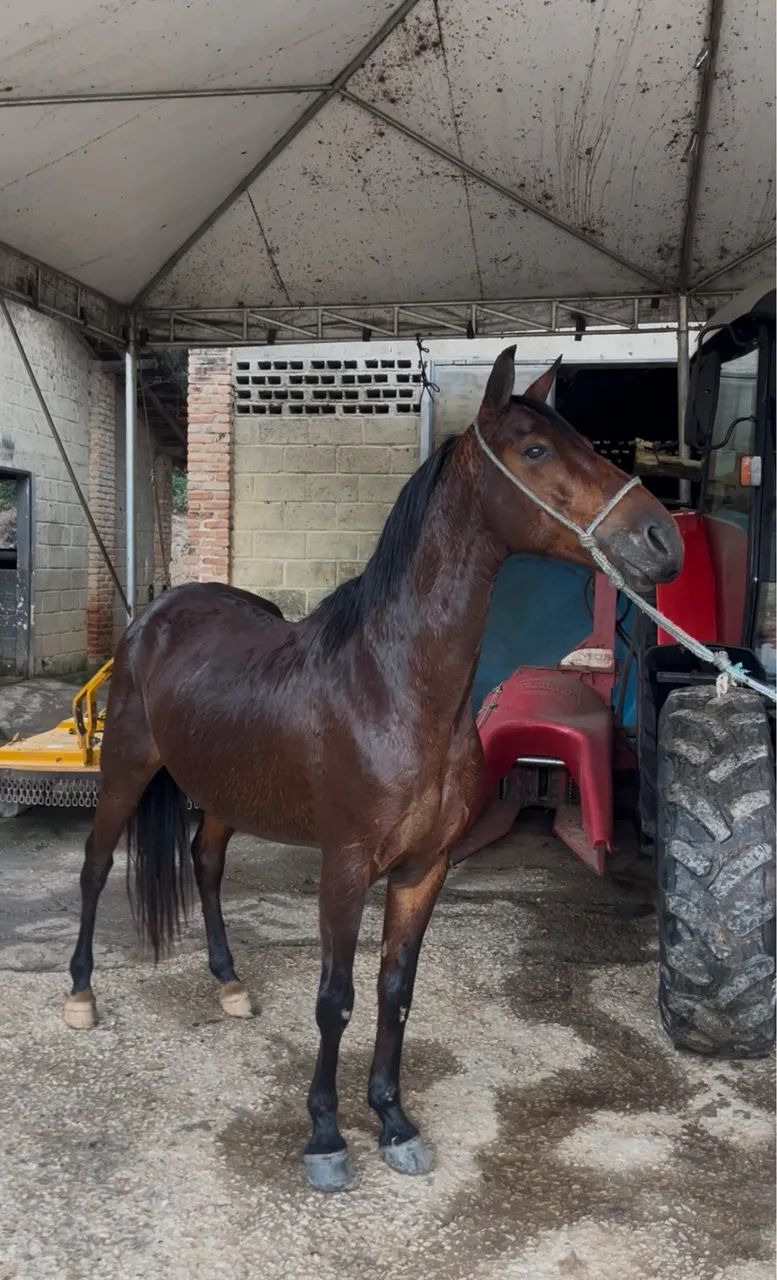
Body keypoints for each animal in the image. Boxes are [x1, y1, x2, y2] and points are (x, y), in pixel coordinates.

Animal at [64, 346, 682, 1192]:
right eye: (534, 449)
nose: (660, 539)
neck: (392, 687)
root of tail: (157, 613)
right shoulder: (346, 865)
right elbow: (336, 998)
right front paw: (325, 1137)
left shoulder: (425, 868)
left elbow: (395, 989)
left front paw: (392, 1119)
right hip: (126, 769)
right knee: (95, 868)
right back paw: (81, 993)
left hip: (223, 791)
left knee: (205, 863)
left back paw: (230, 984)